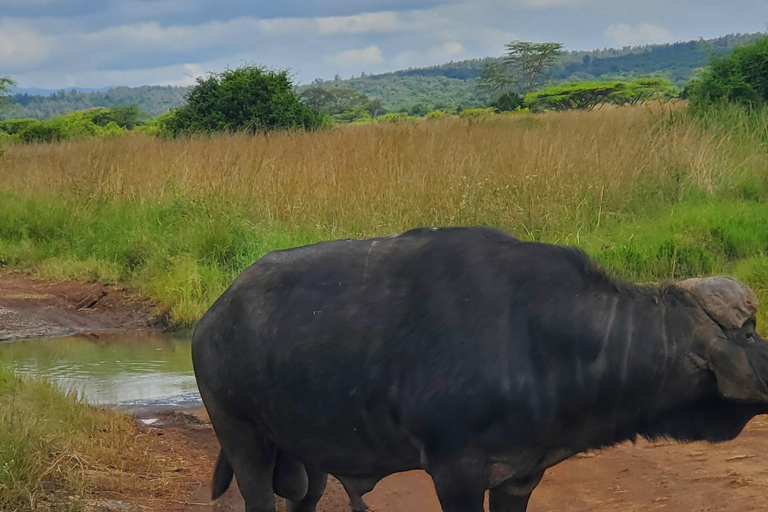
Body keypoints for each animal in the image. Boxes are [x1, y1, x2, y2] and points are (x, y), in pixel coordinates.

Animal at [190, 228, 768, 512]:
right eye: (750, 332)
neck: (539, 338)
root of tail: (211, 319)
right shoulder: (457, 474)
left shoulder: (520, 479)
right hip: (243, 439)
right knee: (259, 498)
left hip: (309, 458)